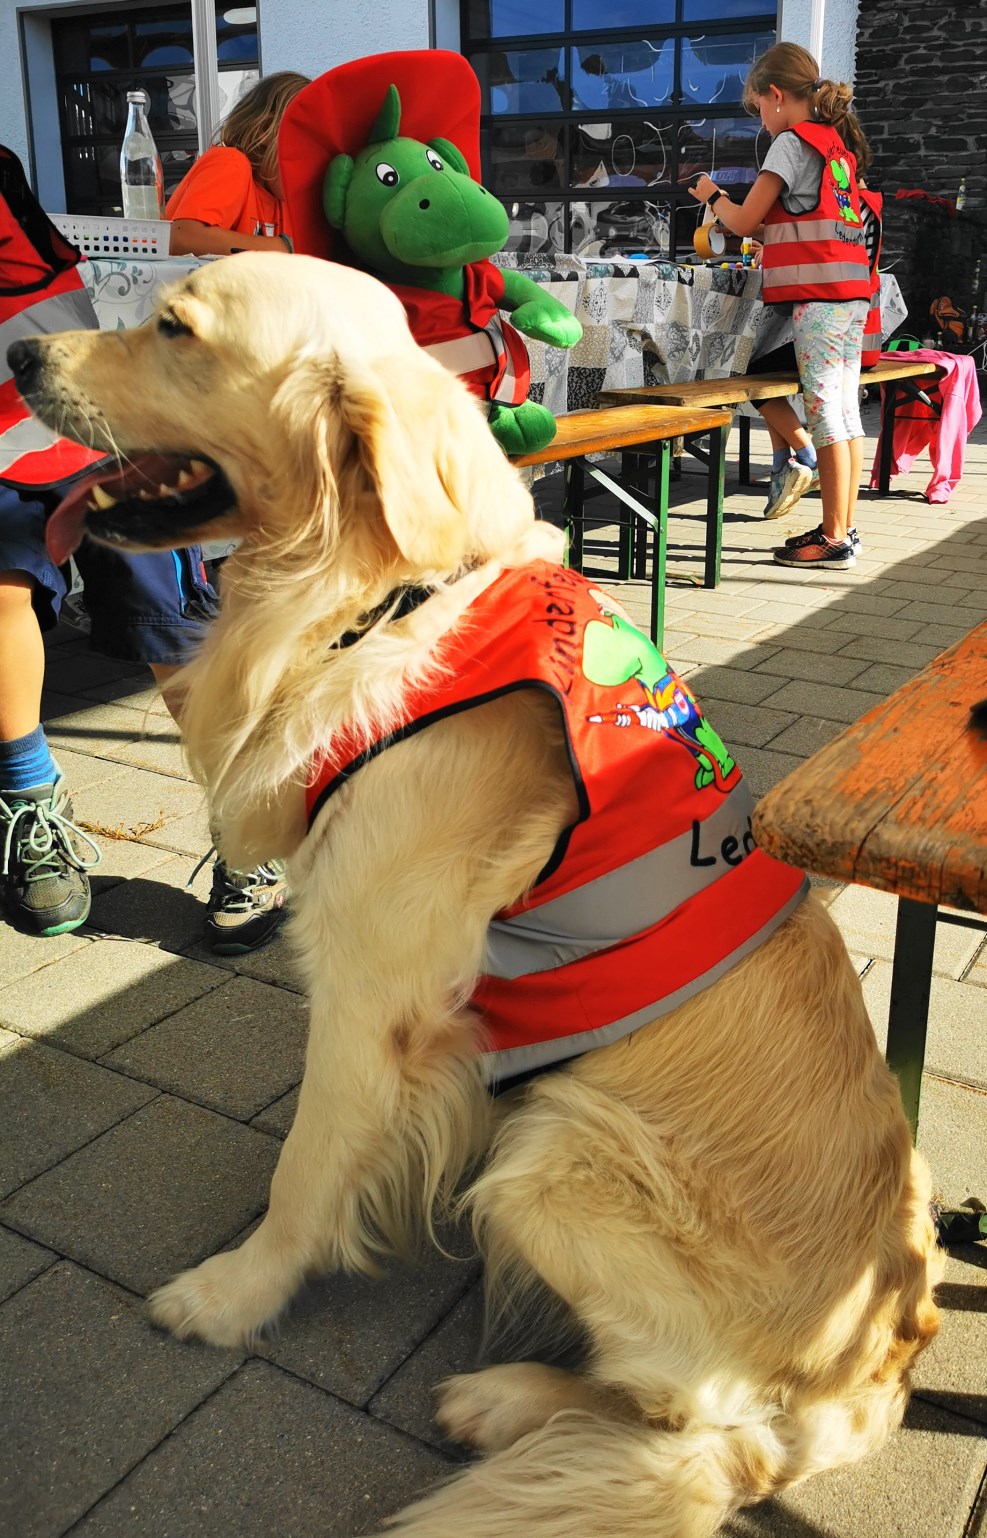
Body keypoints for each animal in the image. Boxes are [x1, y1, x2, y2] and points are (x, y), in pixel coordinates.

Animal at [13, 255, 934, 1538]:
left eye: (175, 328)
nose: (19, 356)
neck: (386, 594)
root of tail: (875, 1376)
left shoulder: (370, 996)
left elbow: (306, 1167)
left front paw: (235, 1291)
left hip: (556, 1146)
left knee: (692, 1426)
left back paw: (506, 1398)